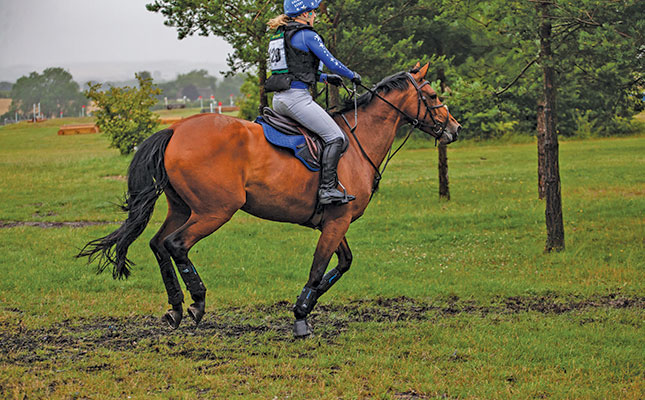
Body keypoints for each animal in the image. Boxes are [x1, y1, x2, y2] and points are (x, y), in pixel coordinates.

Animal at [78, 63, 460, 338]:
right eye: (432, 94)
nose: (454, 129)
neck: (356, 142)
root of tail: (175, 129)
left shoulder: (334, 221)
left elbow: (341, 264)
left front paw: (308, 304)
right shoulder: (336, 222)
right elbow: (319, 267)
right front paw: (301, 317)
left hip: (183, 207)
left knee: (158, 244)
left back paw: (174, 307)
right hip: (215, 210)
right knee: (176, 244)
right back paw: (197, 302)